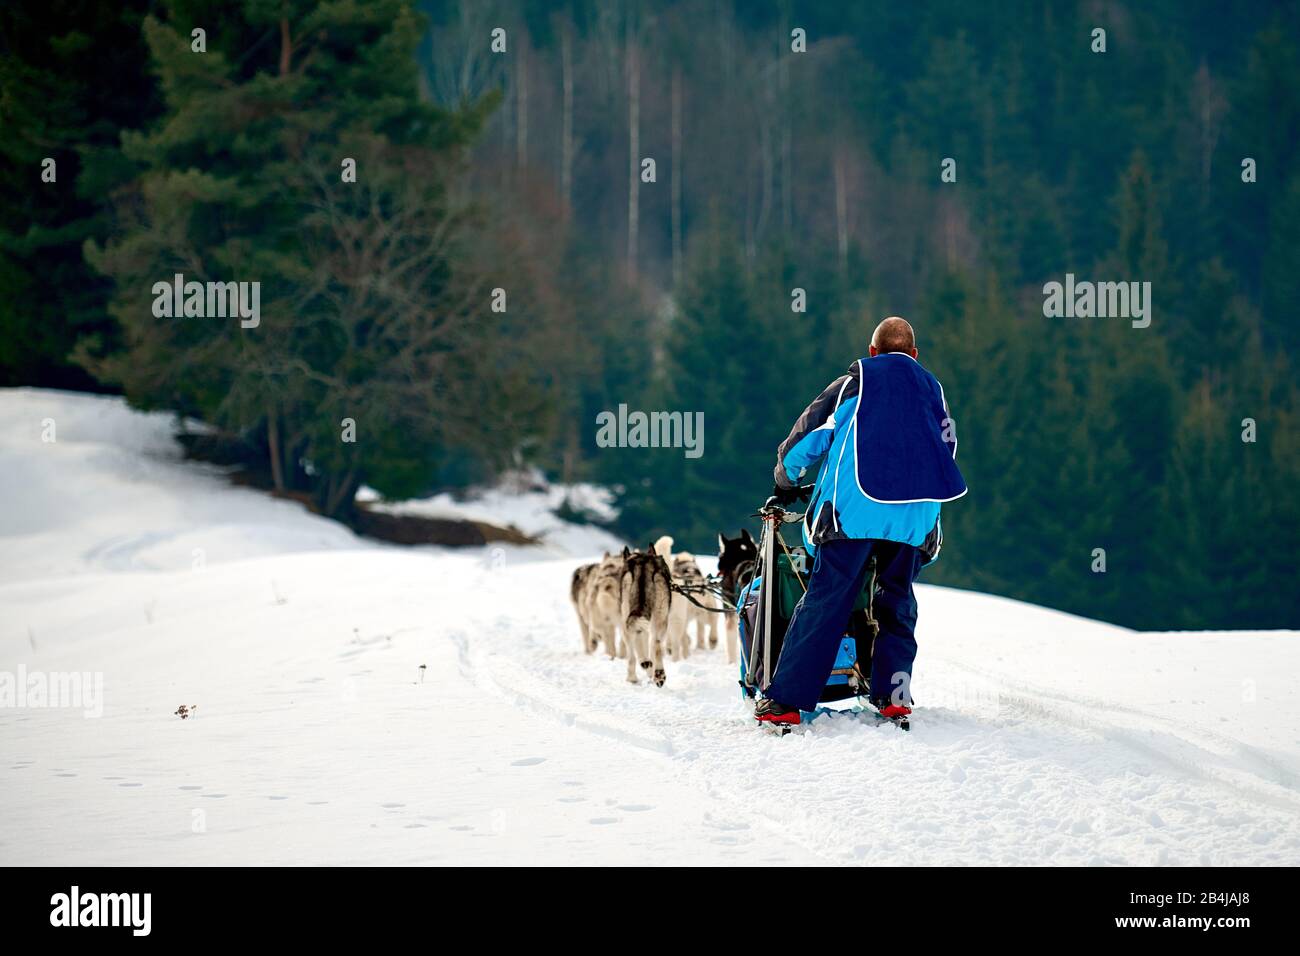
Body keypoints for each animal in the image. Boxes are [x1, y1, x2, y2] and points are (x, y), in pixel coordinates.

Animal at [624, 546, 676, 686]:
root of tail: (643, 567)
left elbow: (634, 654)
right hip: (659, 618)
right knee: (656, 644)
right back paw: (657, 673)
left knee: (640, 649)